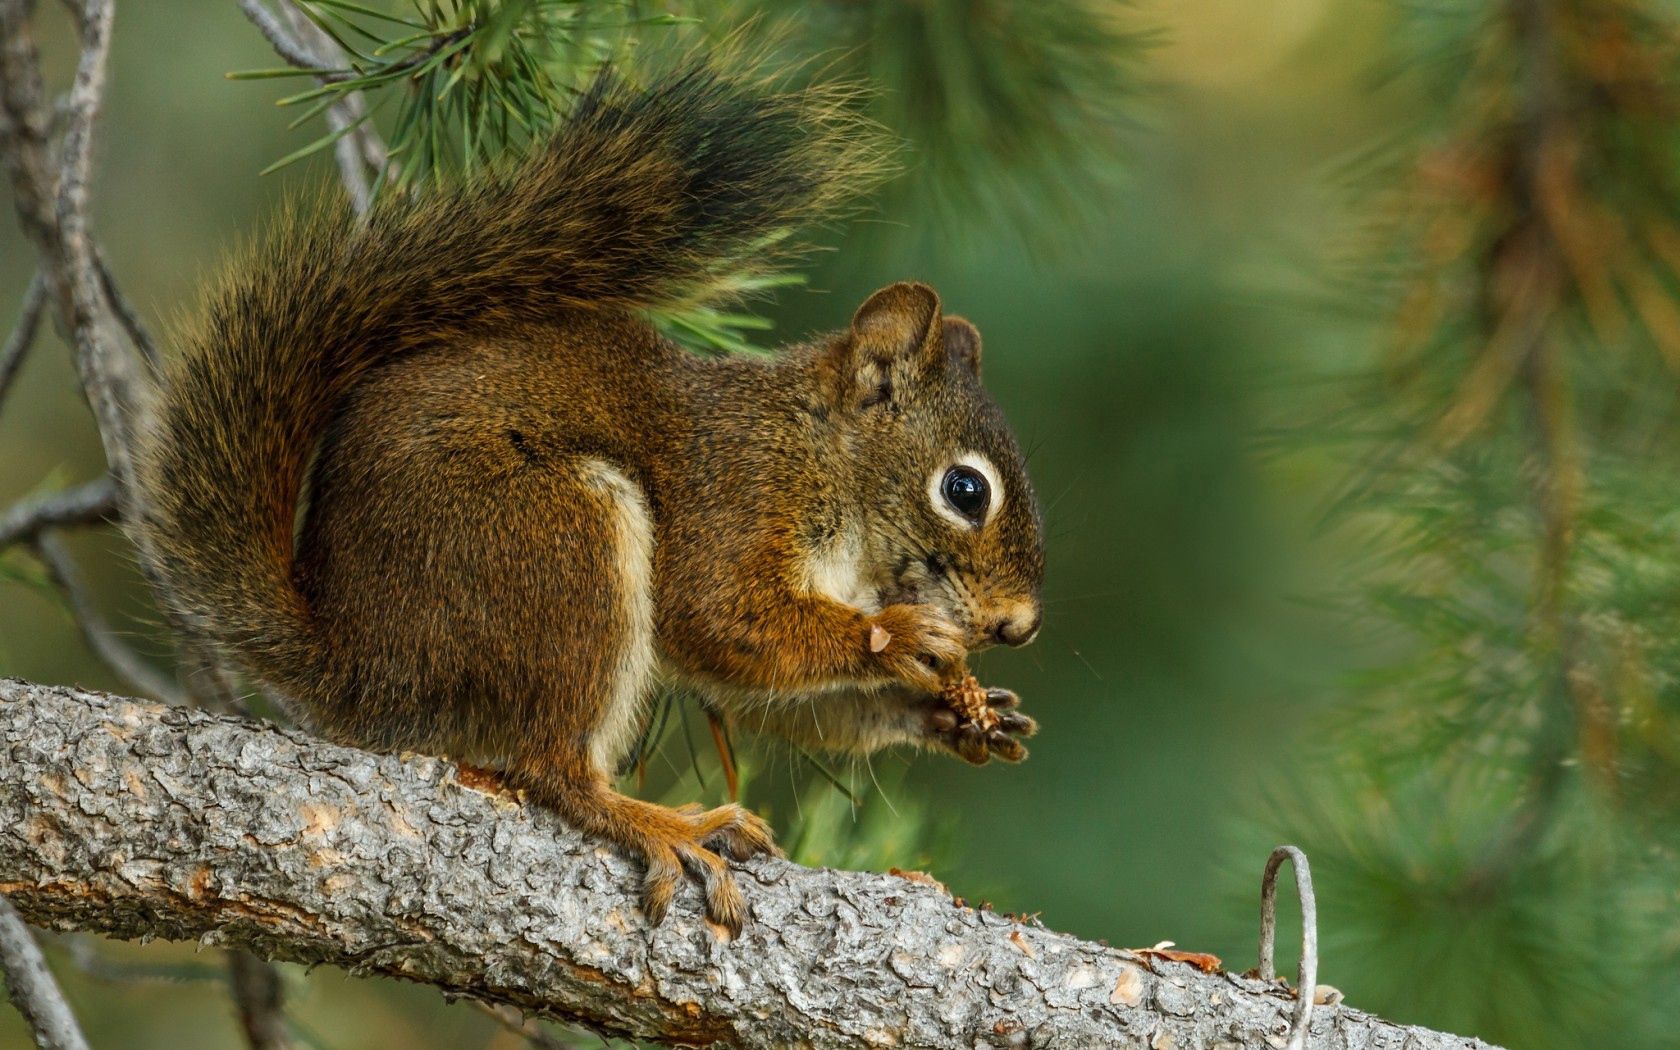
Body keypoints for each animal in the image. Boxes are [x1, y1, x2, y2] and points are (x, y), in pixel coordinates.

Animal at [134, 61, 1034, 927]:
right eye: (964, 489)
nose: (1018, 627)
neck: (826, 461)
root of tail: (359, 659)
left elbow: (772, 696)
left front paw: (959, 712)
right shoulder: (737, 495)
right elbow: (722, 619)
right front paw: (898, 635)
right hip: (555, 544)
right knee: (552, 768)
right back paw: (668, 825)